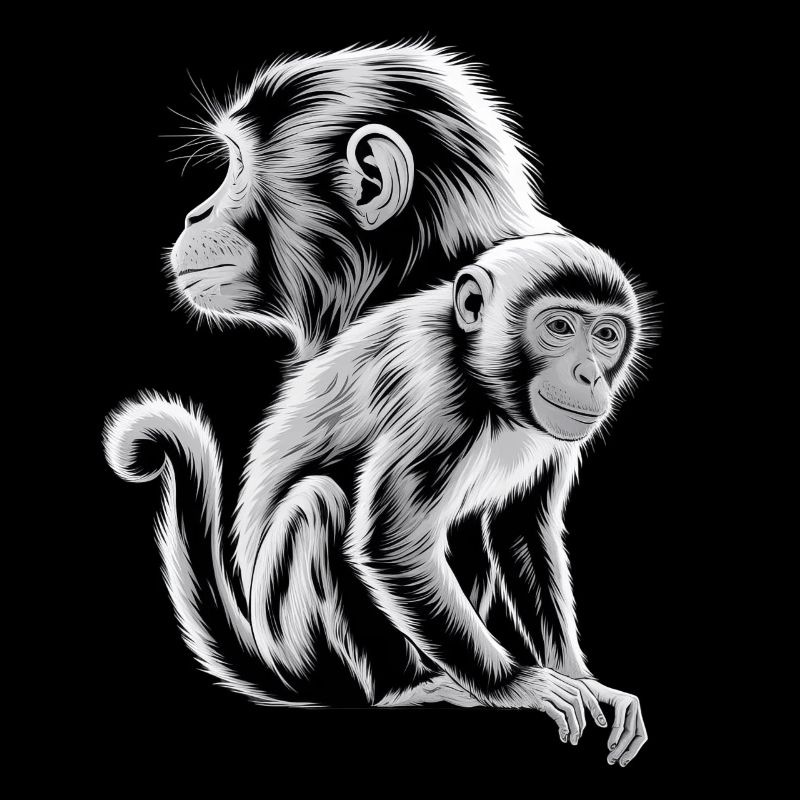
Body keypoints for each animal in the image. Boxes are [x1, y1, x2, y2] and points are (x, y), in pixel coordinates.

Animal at [105, 233, 654, 766]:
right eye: (559, 327)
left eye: (606, 336)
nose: (589, 375)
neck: (490, 389)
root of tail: (273, 659)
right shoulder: (433, 392)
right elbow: (391, 546)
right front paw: (516, 686)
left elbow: (517, 531)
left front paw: (580, 679)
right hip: (295, 642)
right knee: (321, 503)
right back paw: (400, 690)